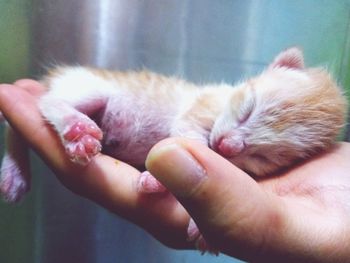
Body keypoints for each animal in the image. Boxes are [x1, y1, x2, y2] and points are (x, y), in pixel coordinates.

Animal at [0, 47, 348, 252]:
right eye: (248, 110)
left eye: (266, 157)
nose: (225, 146)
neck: (222, 100)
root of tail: (56, 76)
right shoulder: (196, 111)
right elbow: (188, 138)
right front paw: (157, 179)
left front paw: (200, 225)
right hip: (87, 87)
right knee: (44, 105)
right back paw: (72, 131)